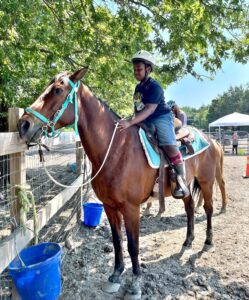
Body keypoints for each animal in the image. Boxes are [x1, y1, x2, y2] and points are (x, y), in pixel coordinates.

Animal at [18, 69, 227, 298]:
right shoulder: (110, 207)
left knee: (208, 209)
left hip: (206, 181)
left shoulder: (131, 208)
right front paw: (116, 275)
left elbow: (133, 246)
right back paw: (188, 241)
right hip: (187, 187)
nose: (23, 125)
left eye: (57, 90)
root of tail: (210, 140)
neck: (117, 150)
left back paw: (207, 242)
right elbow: (117, 241)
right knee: (189, 209)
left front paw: (135, 284)